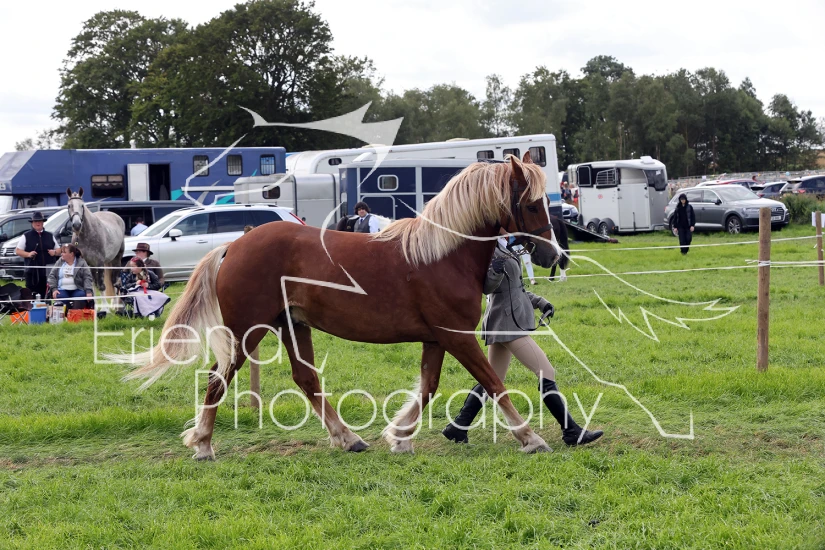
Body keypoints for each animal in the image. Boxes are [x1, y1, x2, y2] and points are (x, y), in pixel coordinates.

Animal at [116, 155, 562, 459]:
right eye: (532, 204)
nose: (553, 255)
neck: (440, 255)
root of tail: (234, 245)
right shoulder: (457, 336)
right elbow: (493, 383)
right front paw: (530, 438)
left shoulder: (437, 339)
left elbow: (429, 386)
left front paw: (399, 437)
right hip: (247, 331)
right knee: (217, 377)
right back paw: (204, 445)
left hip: (291, 326)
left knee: (306, 379)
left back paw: (348, 438)